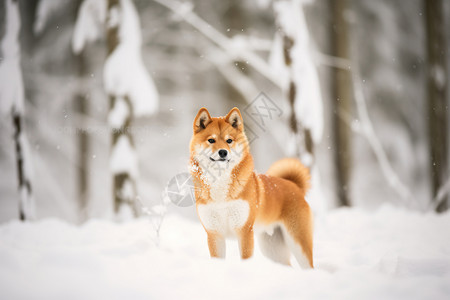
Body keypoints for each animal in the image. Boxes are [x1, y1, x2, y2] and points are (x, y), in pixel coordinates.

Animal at [189, 107, 312, 268]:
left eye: (229, 140)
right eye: (211, 140)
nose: (223, 152)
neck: (220, 183)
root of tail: (294, 185)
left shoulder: (245, 231)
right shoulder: (214, 234)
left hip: (298, 243)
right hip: (272, 249)